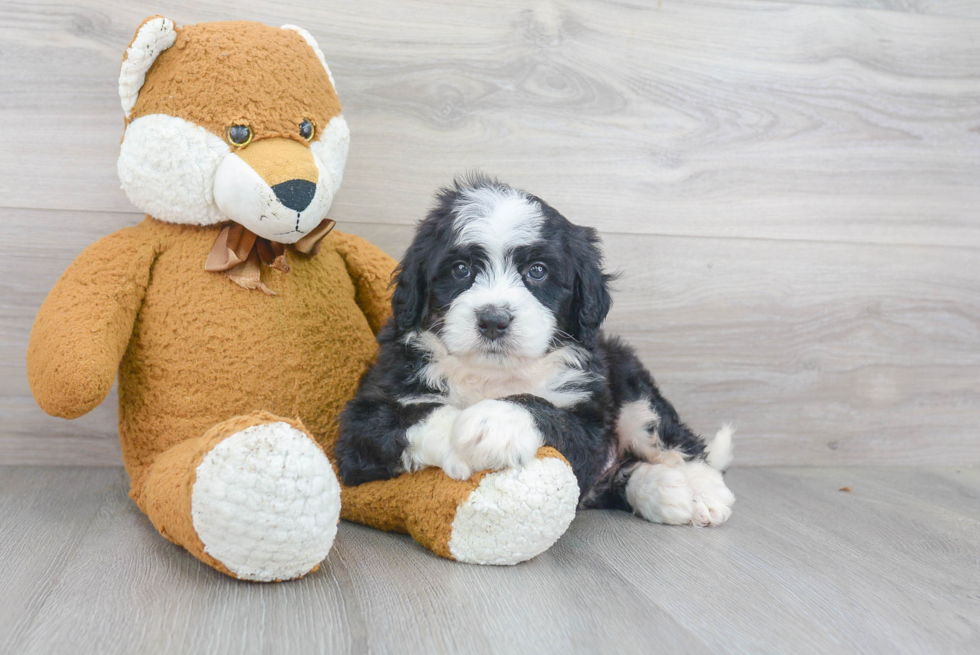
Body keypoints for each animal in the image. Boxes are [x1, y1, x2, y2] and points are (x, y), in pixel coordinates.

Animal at [336, 176, 736, 528]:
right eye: (461, 269)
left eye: (538, 271)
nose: (493, 320)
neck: (492, 375)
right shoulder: (362, 424)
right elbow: (414, 414)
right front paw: (462, 431)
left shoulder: (588, 425)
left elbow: (546, 410)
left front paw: (494, 422)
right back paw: (665, 491)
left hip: (628, 379)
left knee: (672, 439)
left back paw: (701, 492)